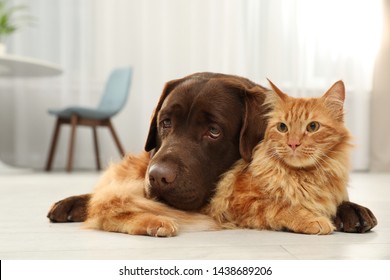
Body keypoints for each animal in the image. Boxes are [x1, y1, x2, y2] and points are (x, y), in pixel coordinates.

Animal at [206, 80, 352, 235]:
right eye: (282, 127)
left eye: (313, 126)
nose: (293, 143)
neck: (303, 177)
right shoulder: (244, 202)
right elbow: (282, 207)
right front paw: (314, 220)